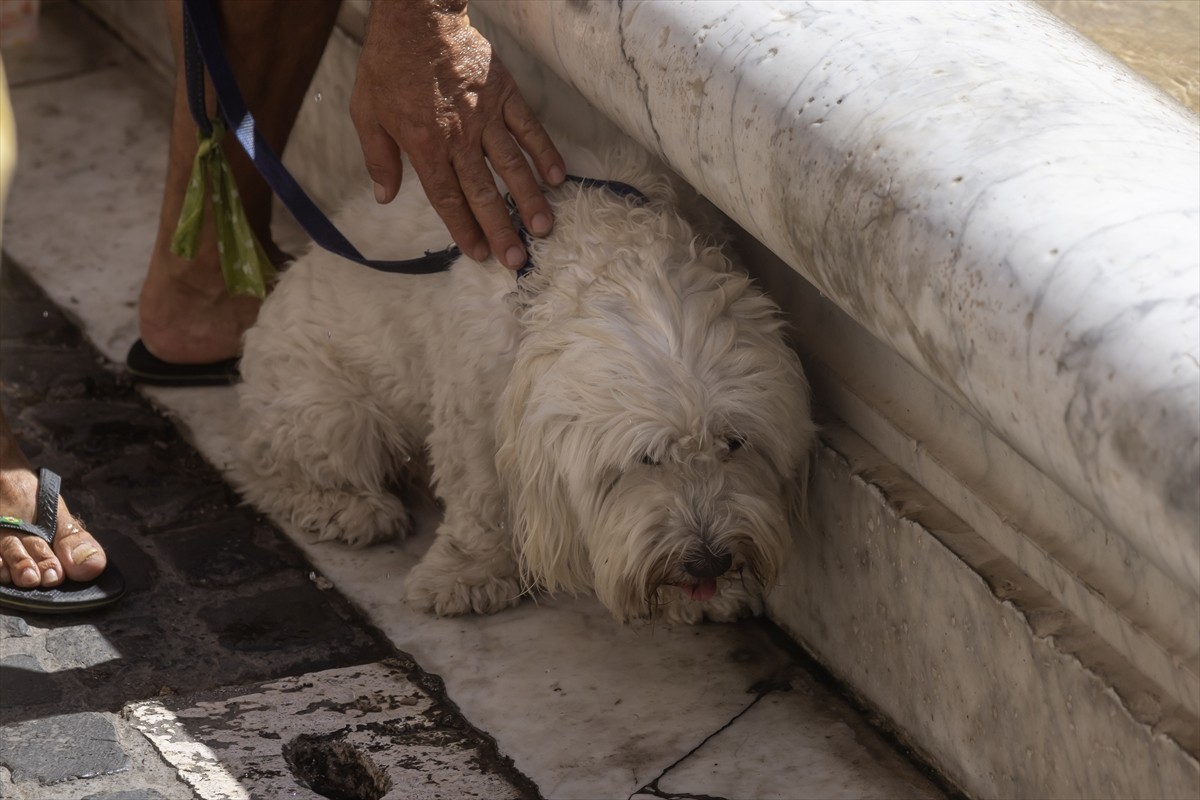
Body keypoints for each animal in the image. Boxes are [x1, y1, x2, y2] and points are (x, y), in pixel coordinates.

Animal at [234, 145, 816, 623]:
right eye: (646, 459)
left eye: (734, 443)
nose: (709, 559)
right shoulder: (476, 405)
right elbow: (479, 495)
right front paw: (467, 575)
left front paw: (719, 595)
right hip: (331, 414)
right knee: (269, 471)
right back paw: (349, 508)